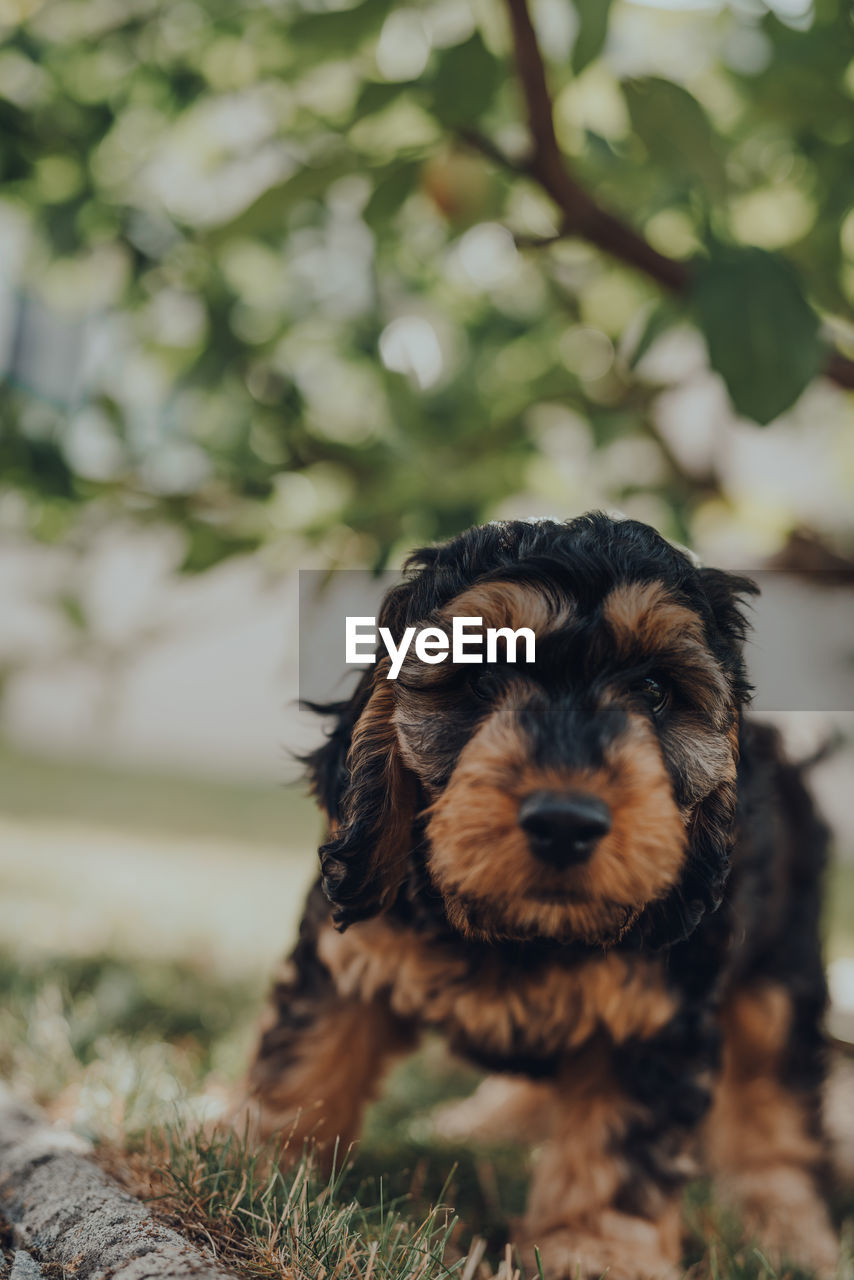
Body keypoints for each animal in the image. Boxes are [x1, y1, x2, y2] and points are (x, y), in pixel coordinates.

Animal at [239, 514, 834, 1274]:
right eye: (483, 673)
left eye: (655, 691)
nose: (565, 822)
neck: (523, 934)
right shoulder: (351, 950)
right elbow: (309, 1057)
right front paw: (260, 1162)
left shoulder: (658, 1018)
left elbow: (618, 1149)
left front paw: (595, 1249)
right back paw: (488, 1125)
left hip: (780, 977)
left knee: (774, 1105)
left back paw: (789, 1231)